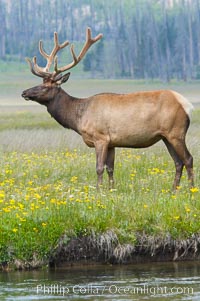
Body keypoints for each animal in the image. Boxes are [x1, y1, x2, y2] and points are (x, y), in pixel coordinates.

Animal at [21, 27, 194, 189]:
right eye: (41, 83)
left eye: (46, 87)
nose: (24, 92)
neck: (78, 117)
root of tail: (186, 105)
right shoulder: (112, 143)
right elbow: (110, 168)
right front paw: (112, 190)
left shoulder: (100, 138)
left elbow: (99, 168)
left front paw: (99, 191)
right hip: (166, 136)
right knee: (178, 162)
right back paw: (173, 190)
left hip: (176, 132)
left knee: (188, 159)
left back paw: (191, 189)